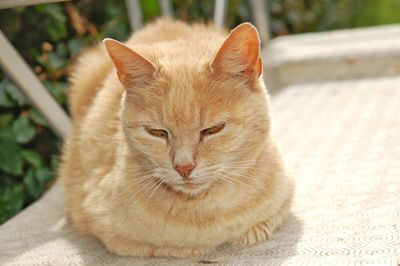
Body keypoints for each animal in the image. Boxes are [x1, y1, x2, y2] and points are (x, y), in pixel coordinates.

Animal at [61, 18, 294, 258]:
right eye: (157, 132)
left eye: (212, 129)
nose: (184, 167)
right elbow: (168, 247)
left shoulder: (286, 193)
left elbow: (266, 221)